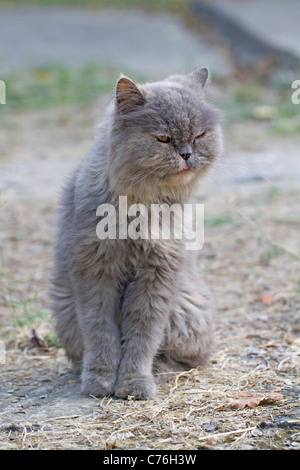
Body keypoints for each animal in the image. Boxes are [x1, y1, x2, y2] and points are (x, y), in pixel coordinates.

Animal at [49, 67, 223, 400]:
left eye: (199, 135)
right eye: (164, 139)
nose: (187, 154)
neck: (141, 208)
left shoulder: (157, 275)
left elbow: (143, 336)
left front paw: (133, 384)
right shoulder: (95, 272)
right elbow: (100, 332)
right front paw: (100, 382)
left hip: (187, 310)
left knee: (187, 357)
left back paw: (160, 370)